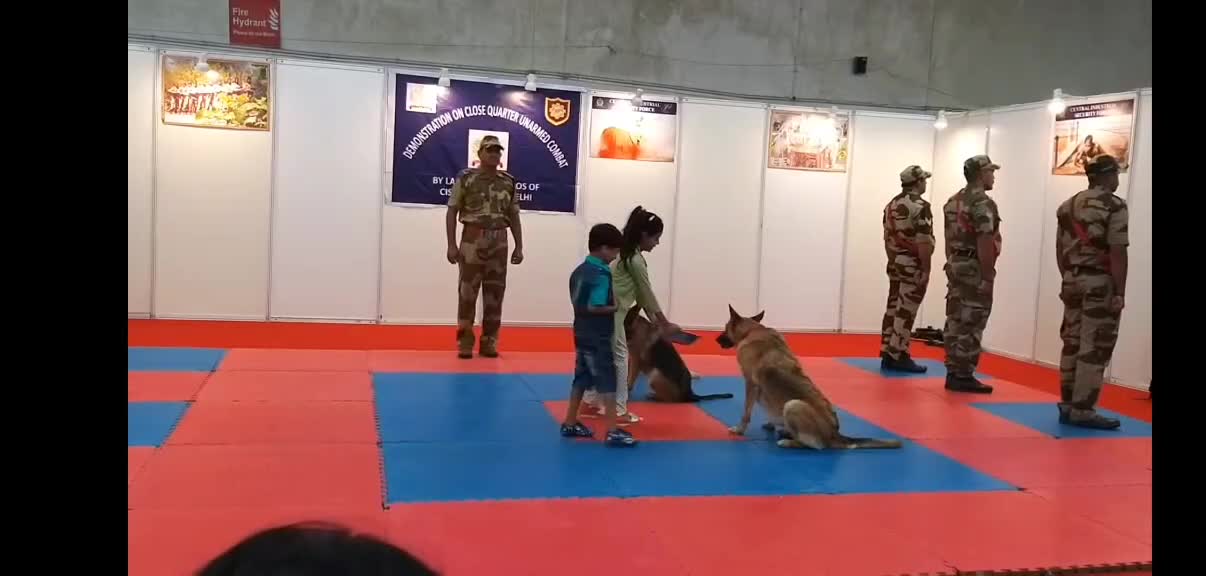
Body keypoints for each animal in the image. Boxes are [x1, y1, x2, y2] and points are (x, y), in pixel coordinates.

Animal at [709, 306, 902, 450]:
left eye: (725, 328)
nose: (716, 340)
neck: (752, 330)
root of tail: (835, 435)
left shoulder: (751, 384)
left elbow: (746, 412)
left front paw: (740, 430)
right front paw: (771, 423)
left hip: (793, 405)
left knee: (816, 445)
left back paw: (789, 441)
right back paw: (786, 432)